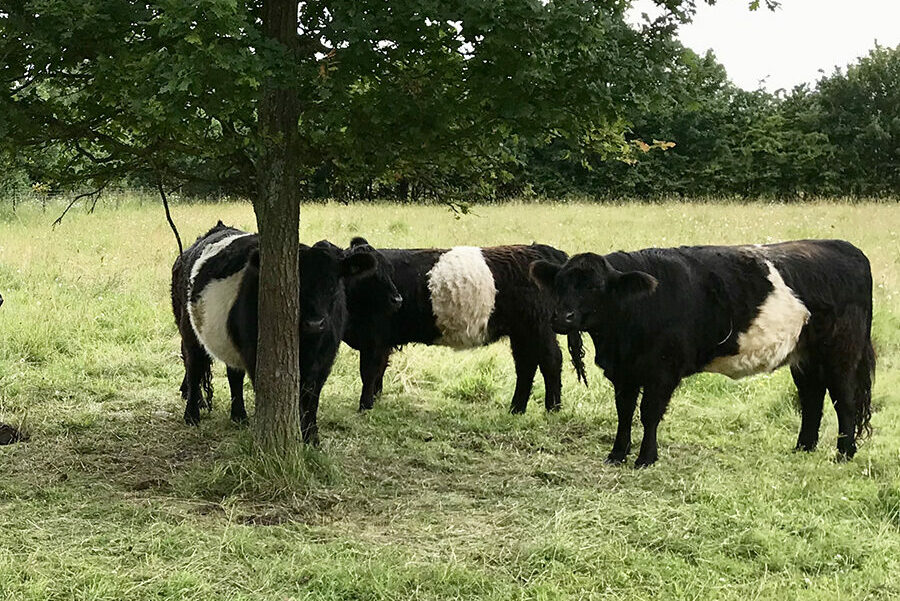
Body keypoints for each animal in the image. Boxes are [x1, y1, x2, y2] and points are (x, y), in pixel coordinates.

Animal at [171, 223, 388, 442]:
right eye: (296, 286)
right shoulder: (258, 354)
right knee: (193, 368)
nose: (315, 323)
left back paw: (239, 416)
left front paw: (311, 438)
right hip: (189, 331)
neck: (308, 345)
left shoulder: (324, 360)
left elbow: (312, 399)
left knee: (234, 375)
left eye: (333, 283)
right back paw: (192, 416)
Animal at [342, 239, 588, 412]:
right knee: (526, 365)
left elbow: (369, 372)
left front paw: (364, 406)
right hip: (522, 332)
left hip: (538, 329)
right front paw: (374, 401)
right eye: (372, 274)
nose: (397, 299)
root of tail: (539, 250)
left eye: (385, 273)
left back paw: (552, 409)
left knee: (550, 361)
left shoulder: (375, 339)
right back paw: (516, 409)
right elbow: (378, 374)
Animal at [532, 237, 876, 466]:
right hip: (804, 356)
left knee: (844, 399)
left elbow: (649, 413)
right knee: (812, 397)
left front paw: (646, 458)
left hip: (840, 352)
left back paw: (844, 454)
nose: (561, 317)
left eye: (594, 287)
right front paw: (617, 454)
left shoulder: (661, 370)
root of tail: (846, 247)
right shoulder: (624, 372)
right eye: (560, 283)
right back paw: (804, 447)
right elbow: (625, 411)